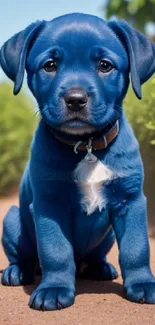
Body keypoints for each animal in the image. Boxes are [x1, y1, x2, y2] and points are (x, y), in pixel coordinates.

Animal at [0, 13, 155, 310]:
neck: (86, 146)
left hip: (106, 235)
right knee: (25, 256)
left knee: (93, 257)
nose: (75, 99)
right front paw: (54, 288)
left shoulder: (130, 201)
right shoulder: (49, 204)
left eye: (105, 65)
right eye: (50, 65)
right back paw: (17, 271)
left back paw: (99, 267)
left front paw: (143, 284)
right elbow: (56, 250)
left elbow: (136, 248)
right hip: (12, 218)